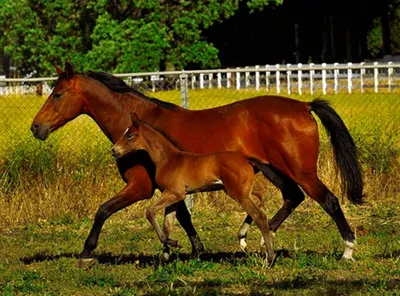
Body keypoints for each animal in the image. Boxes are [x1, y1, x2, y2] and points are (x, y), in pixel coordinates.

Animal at [31, 61, 362, 264]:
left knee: (328, 200)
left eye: (57, 94)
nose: (36, 128)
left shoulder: (140, 187)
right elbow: (181, 217)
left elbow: (103, 210)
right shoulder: (173, 188)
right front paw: (186, 250)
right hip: (273, 170)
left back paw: (347, 250)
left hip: (301, 171)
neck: (141, 125)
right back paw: (251, 238)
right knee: (291, 197)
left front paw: (87, 252)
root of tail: (304, 105)